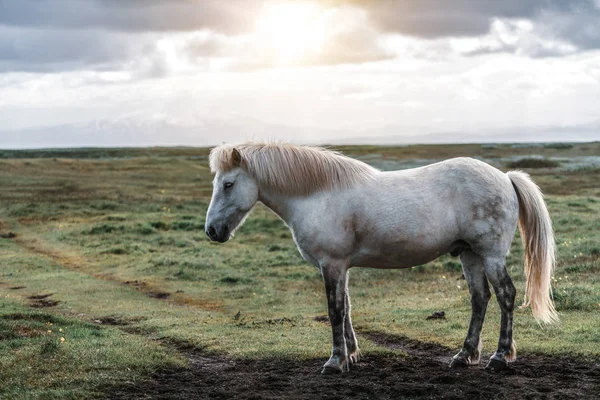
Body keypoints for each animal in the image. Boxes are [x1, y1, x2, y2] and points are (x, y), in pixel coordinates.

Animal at [206, 143, 556, 376]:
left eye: (228, 184)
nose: (212, 230)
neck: (317, 195)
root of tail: (505, 177)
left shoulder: (332, 264)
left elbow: (335, 310)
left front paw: (335, 361)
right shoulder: (340, 266)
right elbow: (346, 308)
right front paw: (351, 354)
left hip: (490, 254)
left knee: (506, 294)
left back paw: (500, 356)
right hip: (469, 254)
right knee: (480, 299)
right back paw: (464, 355)